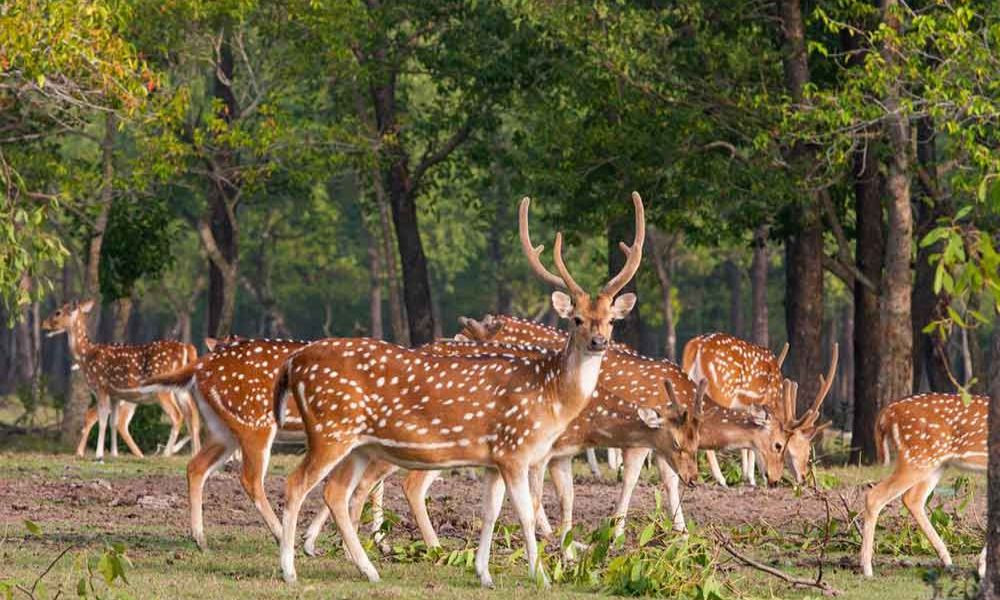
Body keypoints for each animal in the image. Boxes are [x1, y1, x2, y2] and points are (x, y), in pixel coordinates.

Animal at [42, 300, 201, 460]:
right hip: (181, 390)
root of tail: (187, 348)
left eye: (58, 312)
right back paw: (193, 454)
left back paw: (165, 453)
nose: (43, 324)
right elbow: (112, 422)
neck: (87, 356)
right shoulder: (115, 395)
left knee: (177, 416)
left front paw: (99, 455)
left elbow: (103, 421)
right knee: (191, 415)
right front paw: (114, 454)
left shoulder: (101, 388)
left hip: (163, 389)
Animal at [130, 336, 308, 552]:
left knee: (195, 466)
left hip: (221, 429)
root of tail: (199, 366)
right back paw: (282, 537)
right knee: (250, 479)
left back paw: (200, 540)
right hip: (254, 423)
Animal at [274, 192, 648, 584]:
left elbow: (491, 511)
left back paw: (368, 569)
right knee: (296, 485)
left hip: (359, 443)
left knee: (336, 492)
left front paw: (484, 573)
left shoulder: (494, 457)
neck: (551, 396)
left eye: (611, 320)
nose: (598, 341)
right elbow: (526, 511)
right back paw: (290, 570)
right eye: (576, 319)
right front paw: (541, 576)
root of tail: (293, 363)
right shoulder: (514, 449)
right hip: (330, 431)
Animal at [680, 332, 836, 488]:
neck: (776, 397)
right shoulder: (761, 404)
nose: (803, 478)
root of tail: (695, 346)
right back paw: (721, 479)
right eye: (807, 449)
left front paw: (746, 477)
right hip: (721, 391)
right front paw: (753, 479)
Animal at [856, 392, 988, 580]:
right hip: (917, 458)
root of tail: (889, 411)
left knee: (912, 499)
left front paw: (982, 567)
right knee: (875, 496)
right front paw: (982, 568)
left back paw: (947, 560)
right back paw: (867, 568)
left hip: (934, 463)